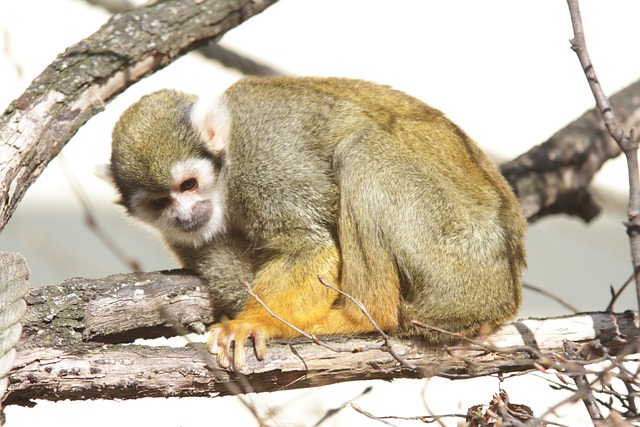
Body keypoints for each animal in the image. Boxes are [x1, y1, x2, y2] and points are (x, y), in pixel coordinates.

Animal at [106, 77, 524, 372]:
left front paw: (255, 322)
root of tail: (503, 297)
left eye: (188, 185)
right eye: (161, 202)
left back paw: (364, 315)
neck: (225, 180)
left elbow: (310, 248)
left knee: (361, 148)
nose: (183, 214)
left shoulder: (262, 165)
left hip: (458, 255)